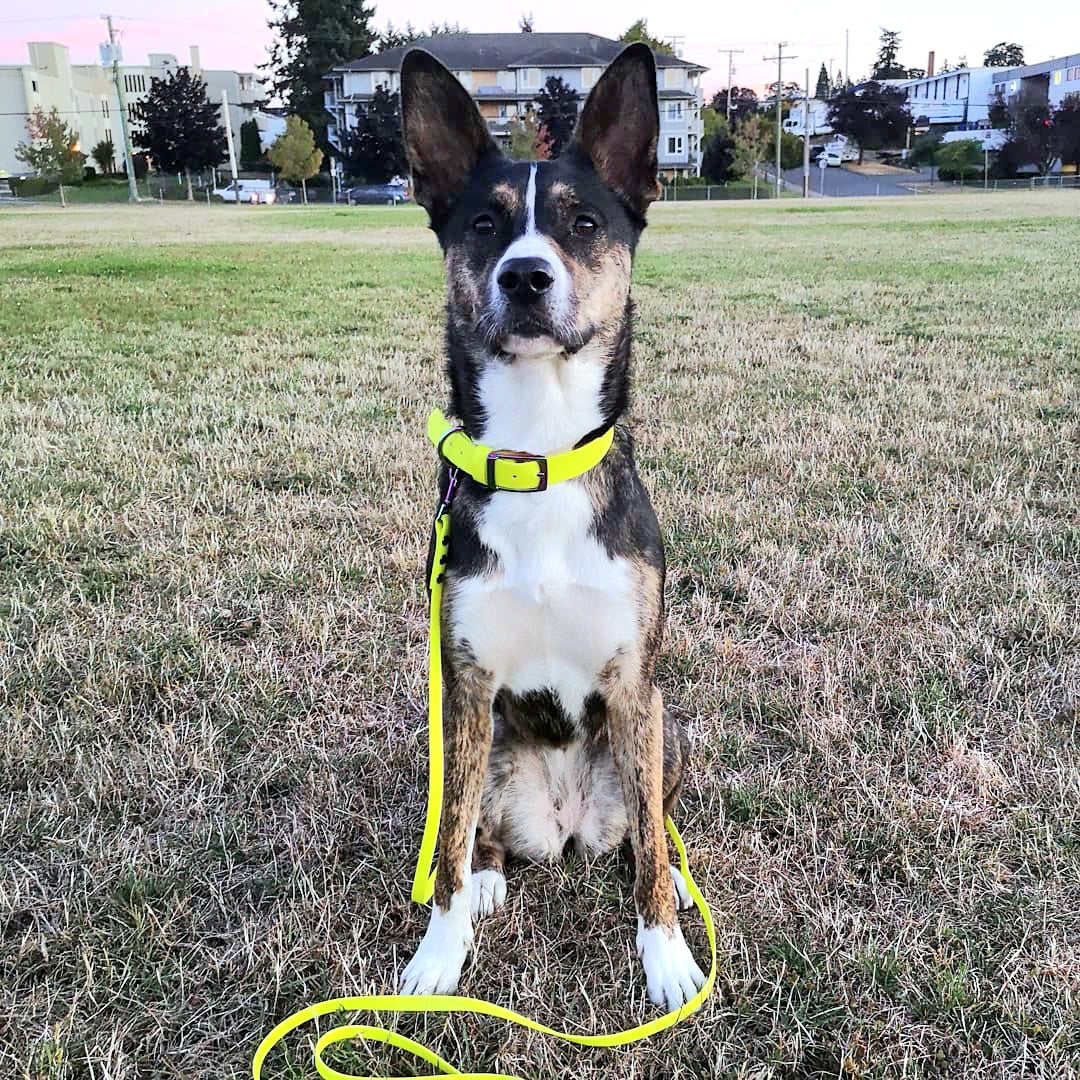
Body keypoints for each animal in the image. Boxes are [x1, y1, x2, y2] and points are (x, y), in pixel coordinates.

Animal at [397, 39, 708, 1002]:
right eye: (483, 225)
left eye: (582, 223)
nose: (527, 277)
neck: (537, 455)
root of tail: (568, 822)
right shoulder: (463, 686)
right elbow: (446, 852)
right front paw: (439, 950)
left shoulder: (635, 679)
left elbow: (653, 862)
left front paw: (667, 953)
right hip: (490, 741)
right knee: (474, 830)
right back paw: (494, 873)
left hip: (668, 724)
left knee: (649, 830)